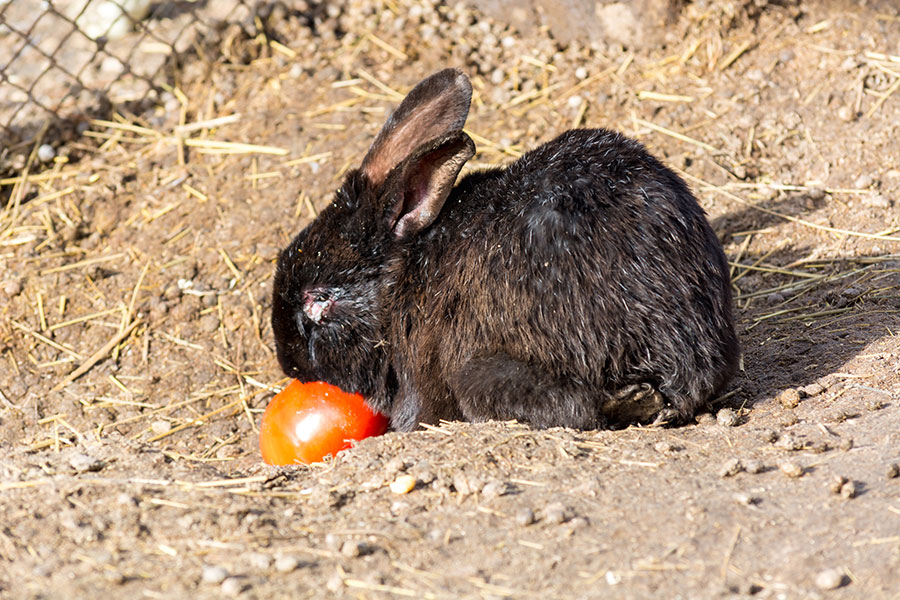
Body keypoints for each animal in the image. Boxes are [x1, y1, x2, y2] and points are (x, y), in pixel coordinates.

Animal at [272, 68, 740, 432]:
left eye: (319, 300)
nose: (288, 363)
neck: (399, 282)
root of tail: (686, 355)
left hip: (480, 374)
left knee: (574, 406)